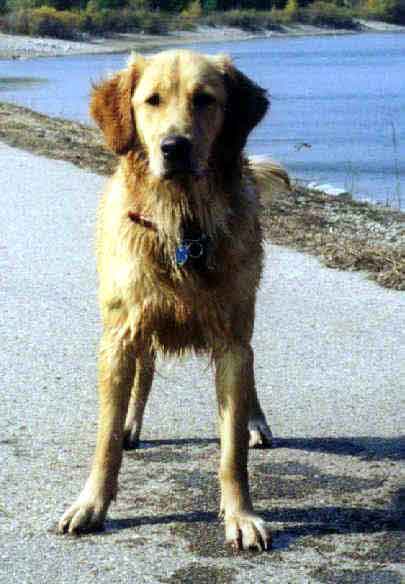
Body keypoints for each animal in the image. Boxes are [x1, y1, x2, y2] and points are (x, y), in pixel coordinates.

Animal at [58, 48, 288, 548]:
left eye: (205, 99)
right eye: (152, 100)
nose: (174, 147)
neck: (181, 224)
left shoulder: (231, 341)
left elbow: (232, 450)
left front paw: (241, 515)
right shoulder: (119, 335)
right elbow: (106, 439)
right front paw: (92, 504)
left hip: (245, 313)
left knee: (251, 374)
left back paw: (256, 421)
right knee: (143, 375)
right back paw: (132, 422)